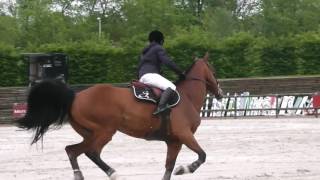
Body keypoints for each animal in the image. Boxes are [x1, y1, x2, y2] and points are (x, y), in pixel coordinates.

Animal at [16, 52, 222, 179]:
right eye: (213, 70)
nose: (219, 92)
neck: (187, 97)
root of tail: (76, 96)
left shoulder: (174, 141)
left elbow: (169, 167)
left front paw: (178, 168)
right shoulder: (185, 135)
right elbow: (202, 155)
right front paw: (186, 168)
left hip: (90, 133)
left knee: (72, 150)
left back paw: (79, 175)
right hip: (104, 131)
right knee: (91, 152)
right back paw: (113, 173)